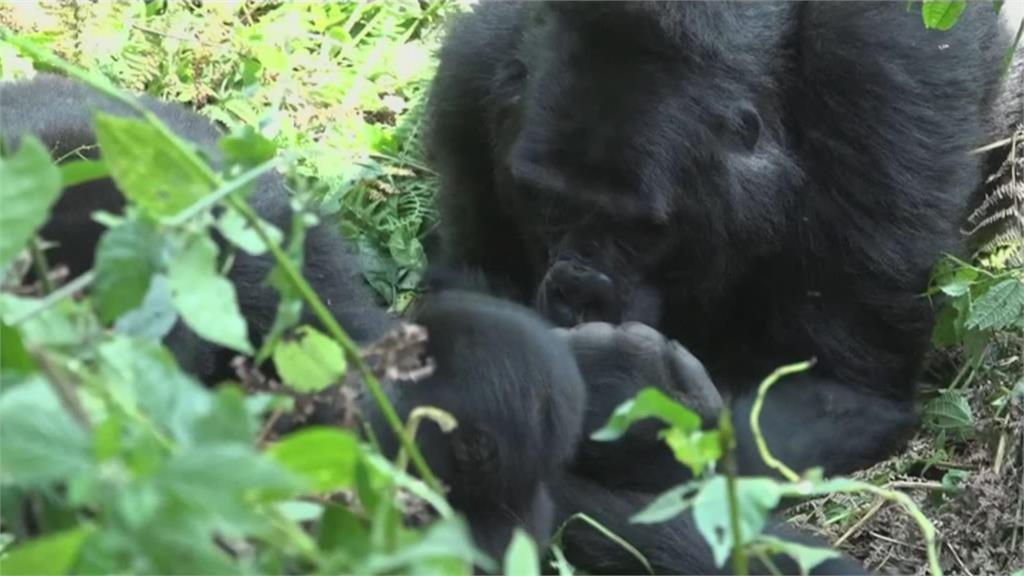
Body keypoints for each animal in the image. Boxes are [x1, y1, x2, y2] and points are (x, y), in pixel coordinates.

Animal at [425, 2, 1015, 569]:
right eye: (548, 204)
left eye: (641, 230)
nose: (578, 290)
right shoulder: (468, 82)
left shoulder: (882, 100)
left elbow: (842, 394)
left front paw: (618, 395)